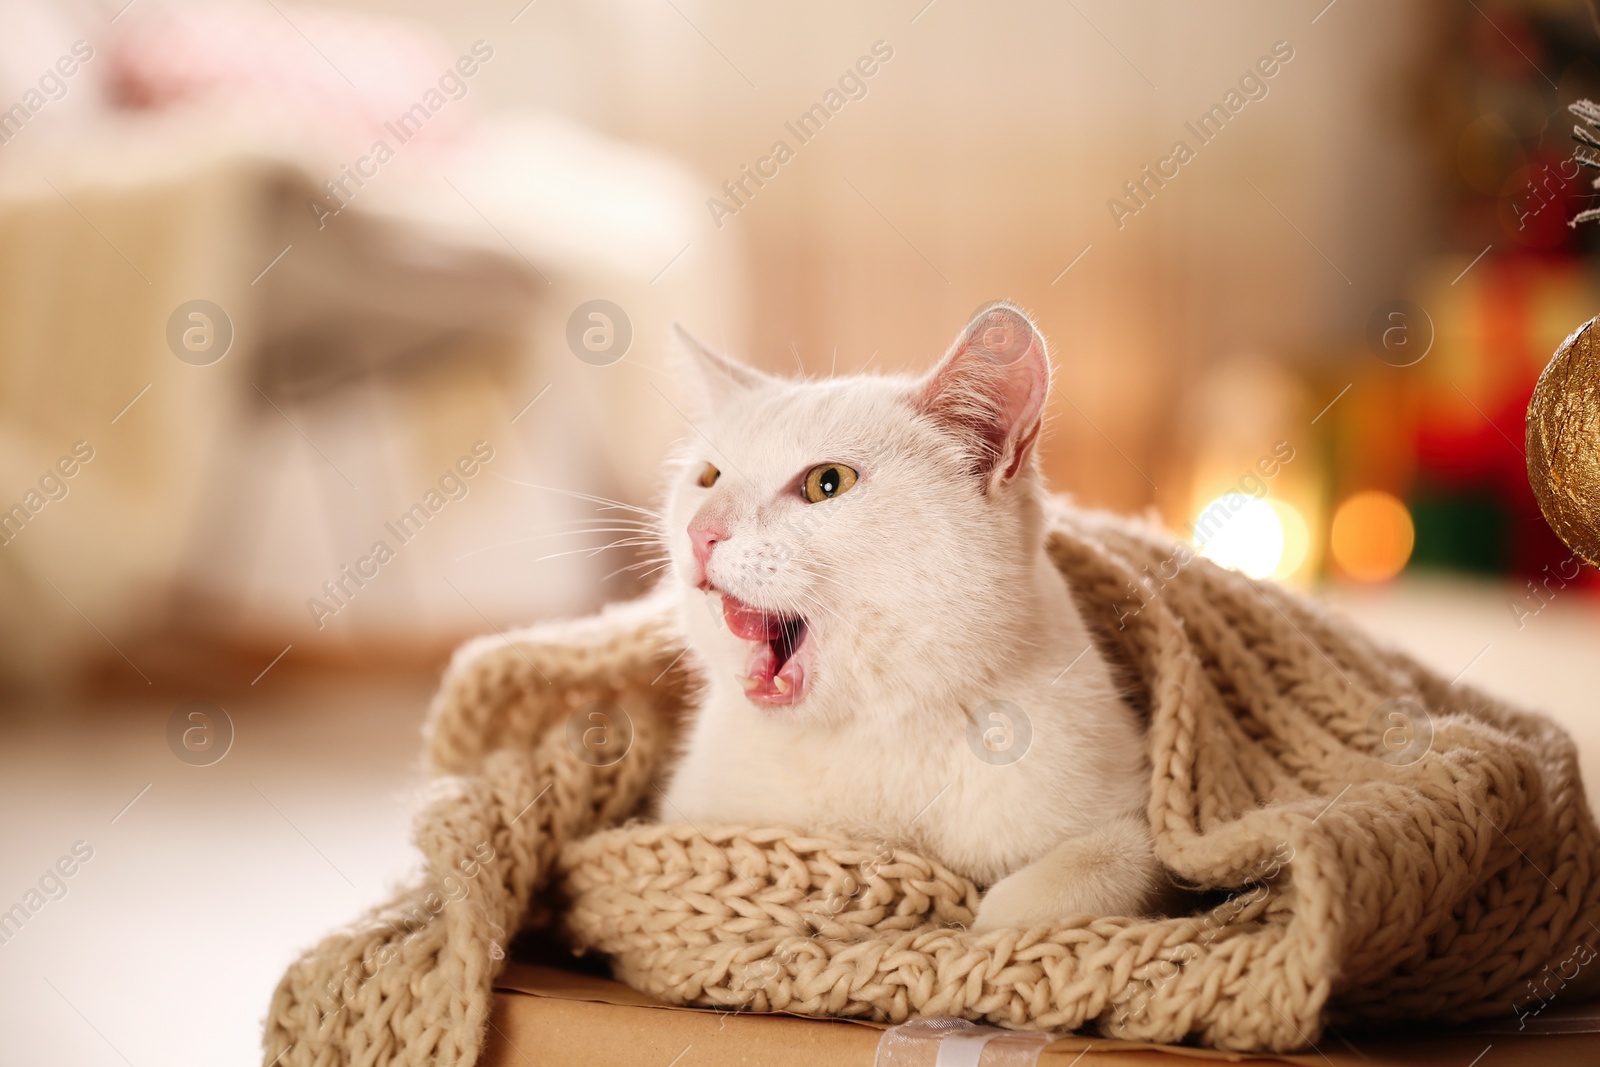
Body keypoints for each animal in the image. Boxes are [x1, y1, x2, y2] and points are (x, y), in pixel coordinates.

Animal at [649, 303, 1164, 927]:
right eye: (708, 478)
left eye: (828, 483)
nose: (701, 533)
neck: (868, 735)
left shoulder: (1130, 821)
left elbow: (1063, 885)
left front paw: (981, 923)